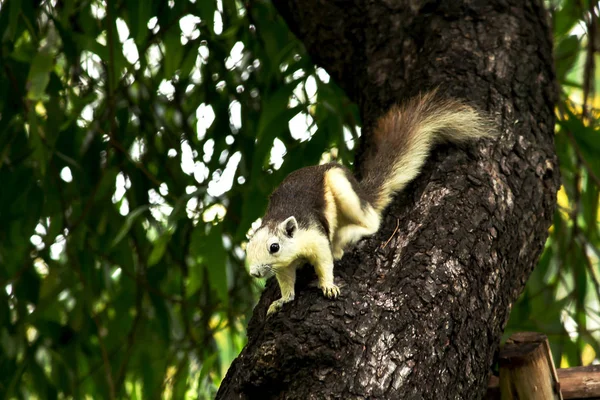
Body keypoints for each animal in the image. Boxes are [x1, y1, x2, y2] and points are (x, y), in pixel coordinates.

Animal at [244, 90, 492, 316]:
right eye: (247, 248)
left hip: (343, 188)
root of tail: (364, 194)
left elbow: (324, 261)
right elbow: (286, 281)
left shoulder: (314, 235)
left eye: (274, 247)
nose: (254, 273)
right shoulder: (284, 265)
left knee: (372, 221)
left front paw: (328, 286)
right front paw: (281, 301)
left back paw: (344, 238)